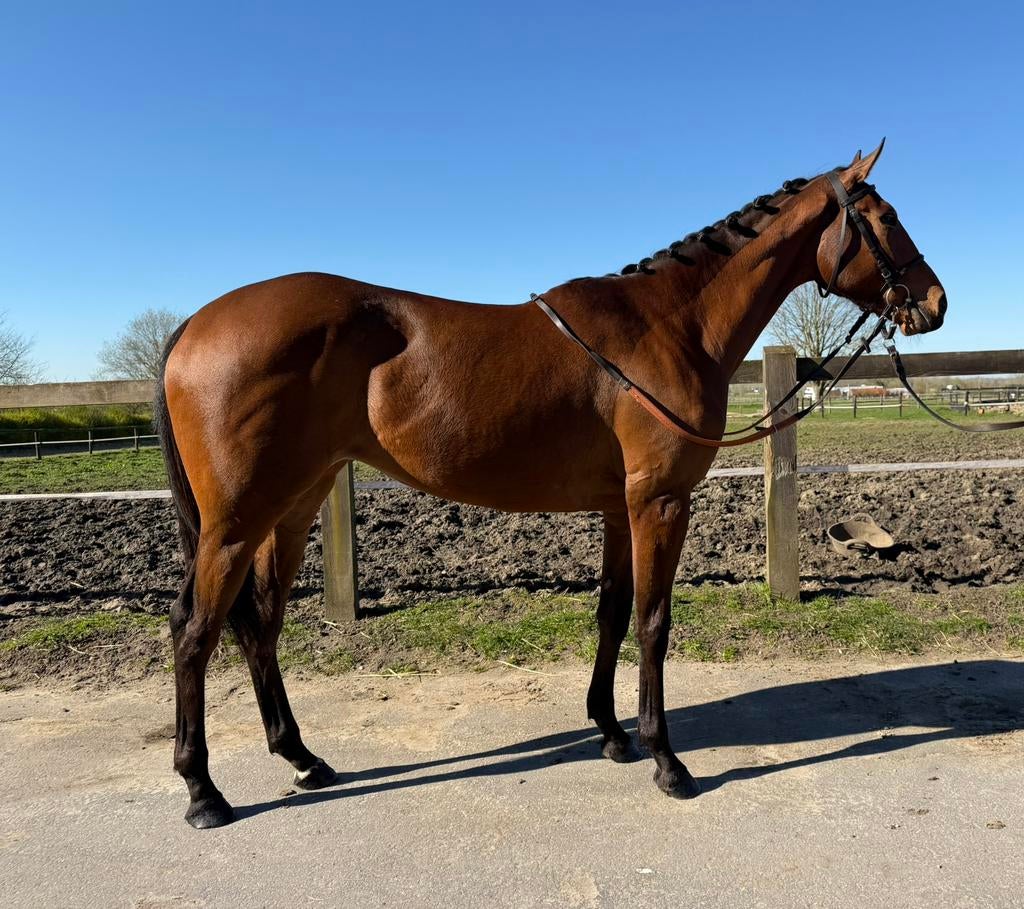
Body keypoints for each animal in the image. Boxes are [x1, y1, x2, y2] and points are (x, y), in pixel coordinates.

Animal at [155, 140, 946, 828]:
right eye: (884, 218)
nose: (934, 302)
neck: (671, 325)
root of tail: (195, 323)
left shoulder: (619, 510)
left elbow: (613, 613)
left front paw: (611, 731)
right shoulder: (661, 503)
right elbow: (654, 622)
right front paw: (667, 760)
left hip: (293, 505)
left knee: (259, 624)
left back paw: (301, 757)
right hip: (236, 522)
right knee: (194, 630)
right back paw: (203, 792)